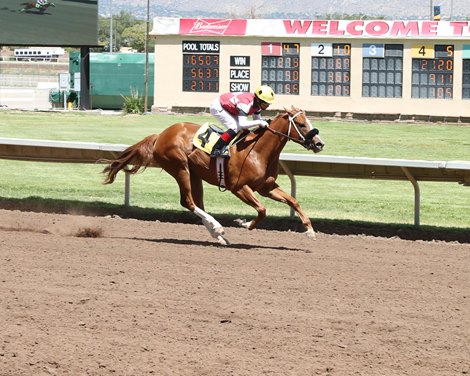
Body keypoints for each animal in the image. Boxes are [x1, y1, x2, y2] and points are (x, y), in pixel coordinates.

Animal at [101, 107, 324, 245]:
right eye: (301, 124)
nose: (319, 143)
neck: (257, 151)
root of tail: (160, 135)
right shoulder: (239, 188)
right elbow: (262, 210)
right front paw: (244, 223)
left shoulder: (266, 187)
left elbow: (293, 201)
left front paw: (310, 230)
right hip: (180, 167)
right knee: (188, 202)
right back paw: (218, 228)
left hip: (194, 174)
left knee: (197, 203)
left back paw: (218, 235)